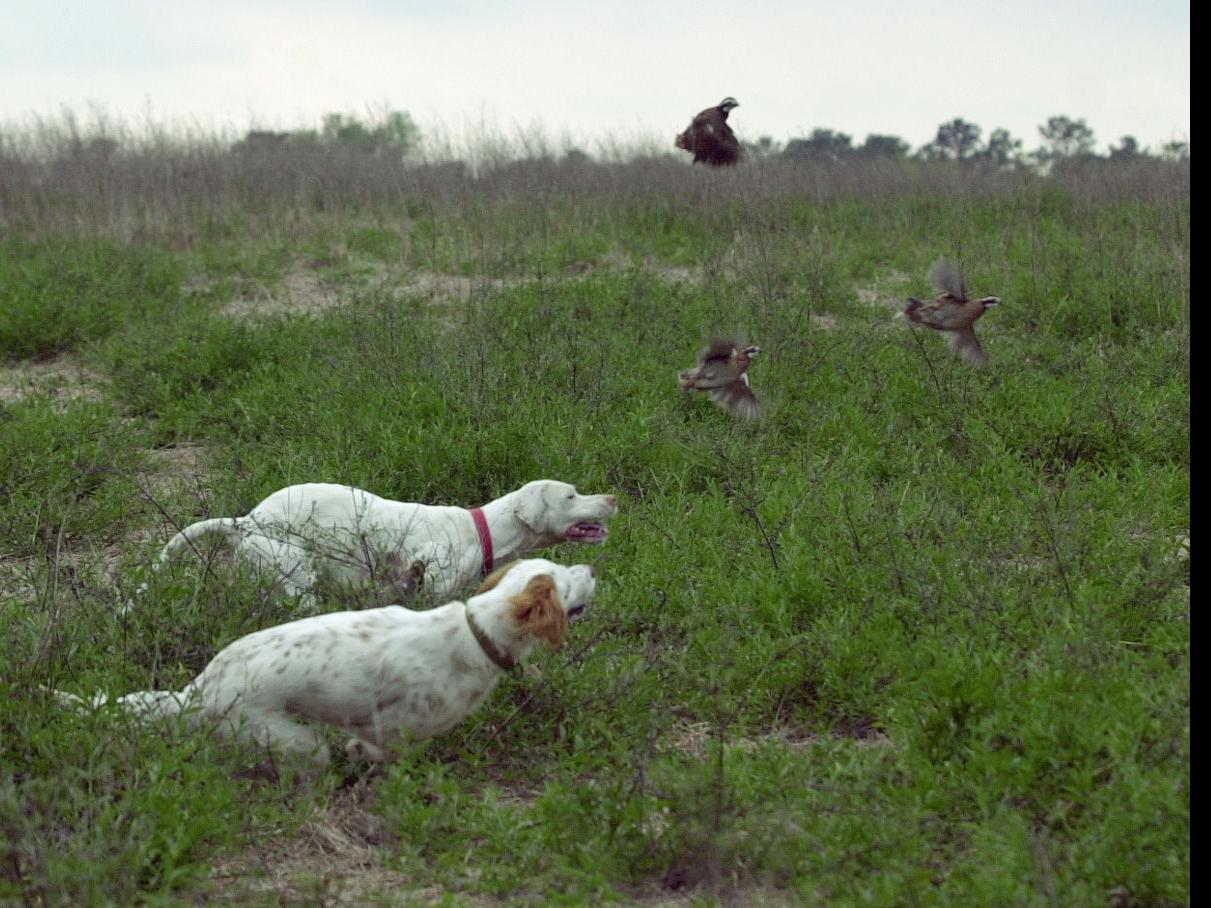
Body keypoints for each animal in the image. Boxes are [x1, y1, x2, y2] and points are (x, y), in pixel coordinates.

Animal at [56, 559, 595, 765]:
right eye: (565, 580)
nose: (591, 567)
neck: (475, 632)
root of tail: (198, 690)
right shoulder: (394, 728)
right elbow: (382, 750)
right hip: (297, 741)